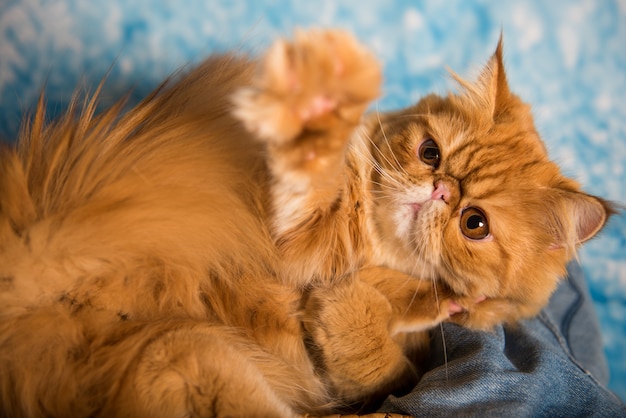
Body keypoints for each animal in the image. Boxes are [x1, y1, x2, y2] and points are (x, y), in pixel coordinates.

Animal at [0, 30, 608, 418]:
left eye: (474, 223)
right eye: (430, 154)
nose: (438, 191)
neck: (369, 250)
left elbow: (384, 354)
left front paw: (440, 303)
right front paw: (318, 102)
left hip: (177, 355)